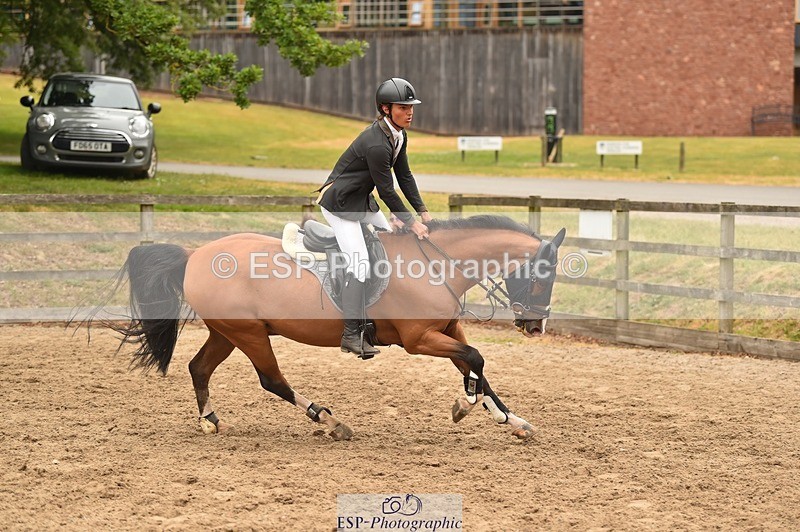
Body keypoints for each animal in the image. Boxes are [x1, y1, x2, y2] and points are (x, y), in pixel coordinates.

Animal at [95, 215, 566, 441]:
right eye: (541, 276)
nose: (535, 326)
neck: (436, 263)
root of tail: (195, 255)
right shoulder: (419, 340)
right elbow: (475, 360)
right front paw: (466, 405)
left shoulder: (446, 330)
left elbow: (477, 366)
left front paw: (511, 419)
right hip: (248, 334)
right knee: (272, 380)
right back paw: (328, 420)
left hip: (226, 332)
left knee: (200, 368)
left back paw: (210, 420)